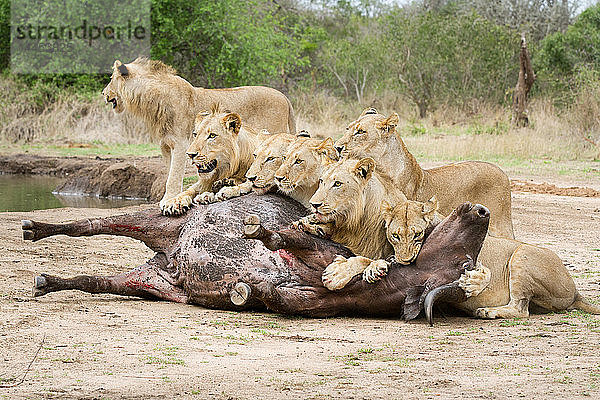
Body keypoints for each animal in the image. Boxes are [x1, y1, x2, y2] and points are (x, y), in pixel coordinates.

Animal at [104, 57, 298, 211]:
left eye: (111, 79)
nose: (104, 93)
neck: (151, 102)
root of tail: (285, 97)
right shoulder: (165, 145)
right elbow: (169, 173)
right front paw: (173, 198)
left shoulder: (180, 143)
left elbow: (174, 175)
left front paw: (168, 200)